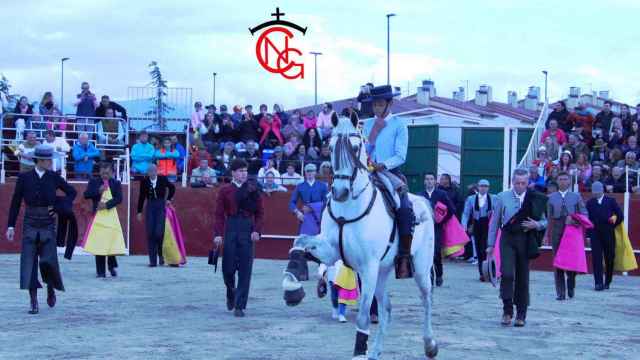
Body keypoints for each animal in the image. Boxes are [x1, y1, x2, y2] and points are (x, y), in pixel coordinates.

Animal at [282, 114, 438, 358]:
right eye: (331, 147)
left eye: (355, 147)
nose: (340, 192)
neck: (348, 208)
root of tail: (423, 202)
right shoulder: (330, 251)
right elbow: (300, 240)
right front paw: (291, 288)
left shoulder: (368, 267)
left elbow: (363, 317)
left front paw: (359, 352)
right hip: (383, 271)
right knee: (387, 309)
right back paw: (375, 352)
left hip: (420, 267)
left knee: (426, 299)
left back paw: (430, 345)